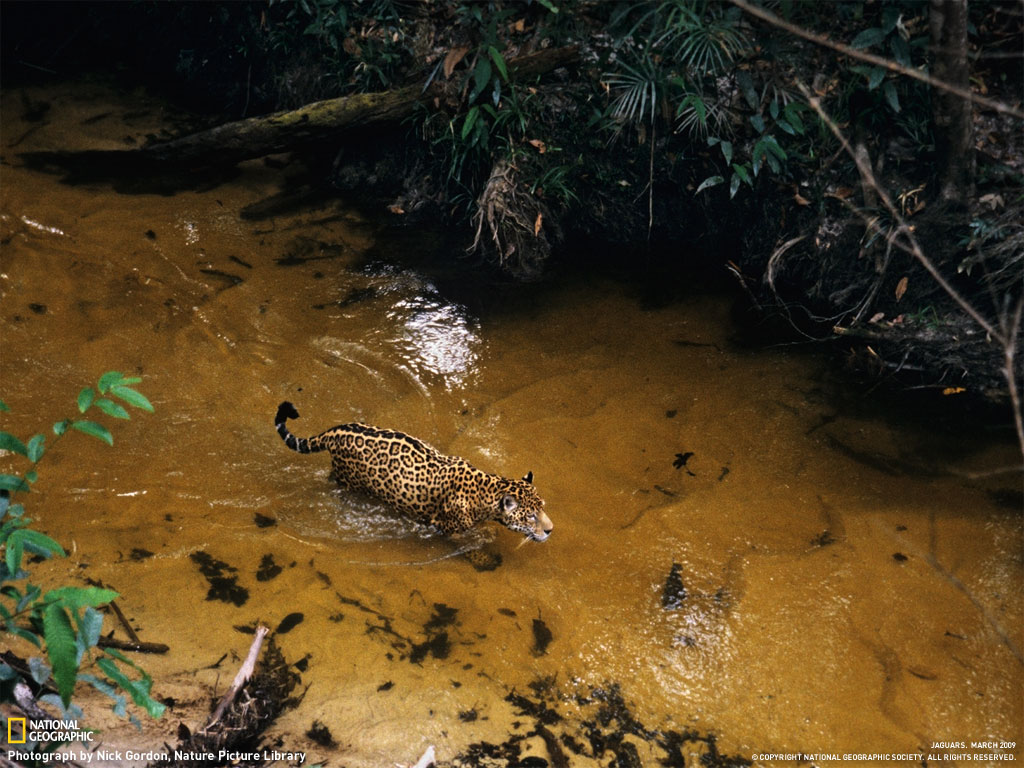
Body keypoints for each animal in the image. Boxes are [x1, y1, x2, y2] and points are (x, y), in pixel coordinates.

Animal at [275, 401, 553, 543]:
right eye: (530, 517)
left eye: (543, 508)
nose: (550, 530)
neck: (486, 492)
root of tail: (336, 430)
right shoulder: (447, 529)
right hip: (348, 480)